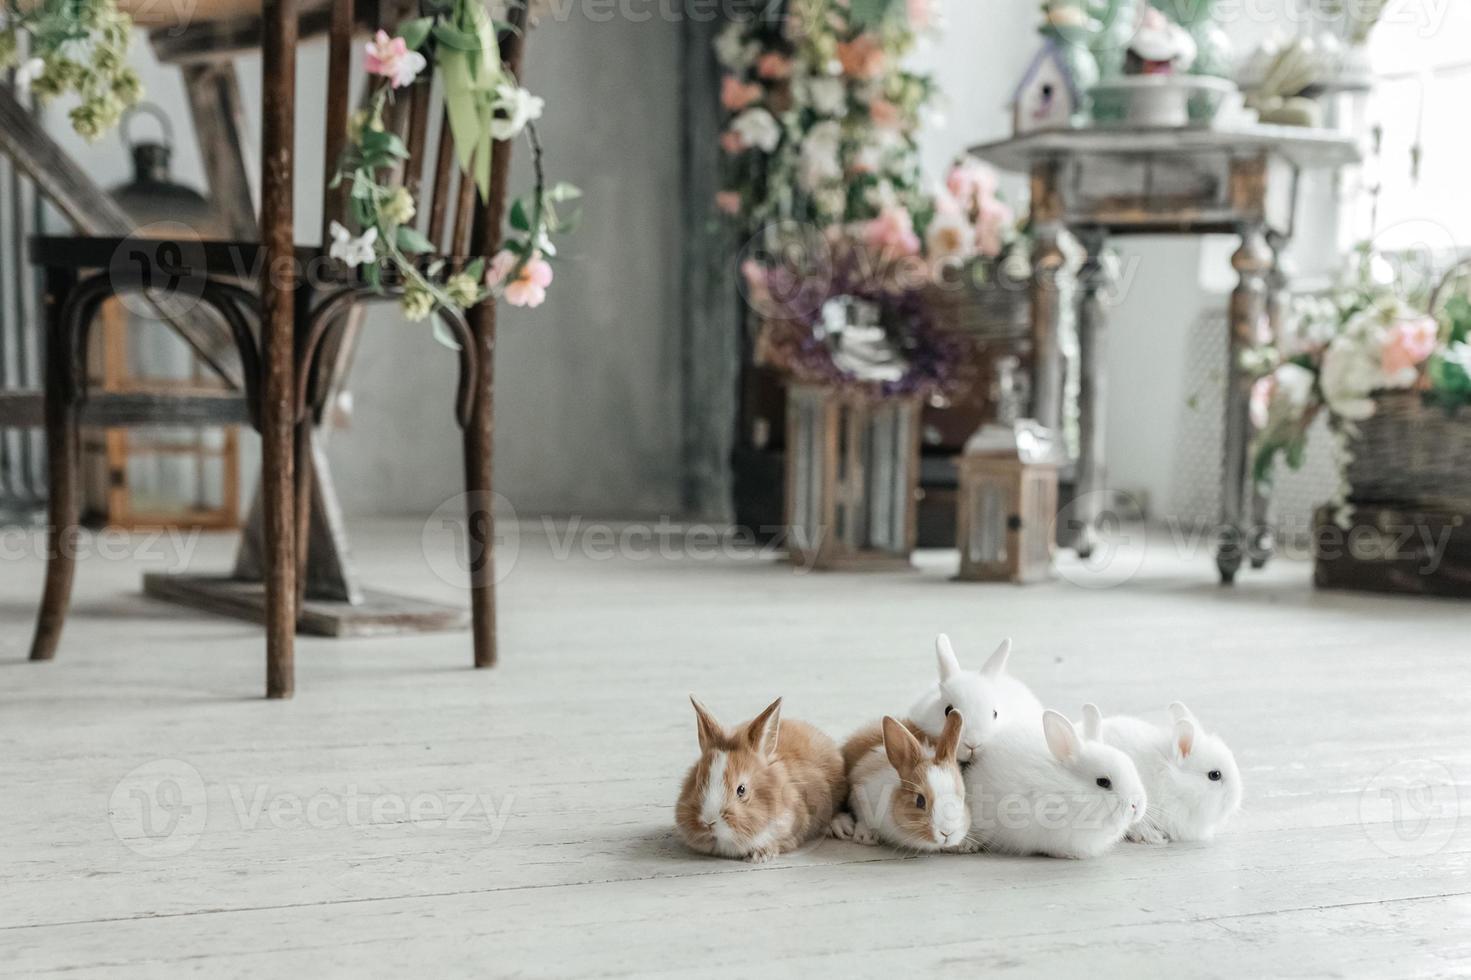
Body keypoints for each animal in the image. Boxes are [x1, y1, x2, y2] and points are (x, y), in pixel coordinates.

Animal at [829, 709, 976, 847]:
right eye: (920, 801)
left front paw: (966, 845)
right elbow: (862, 816)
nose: (947, 833)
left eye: (962, 797)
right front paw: (865, 835)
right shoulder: (861, 792)